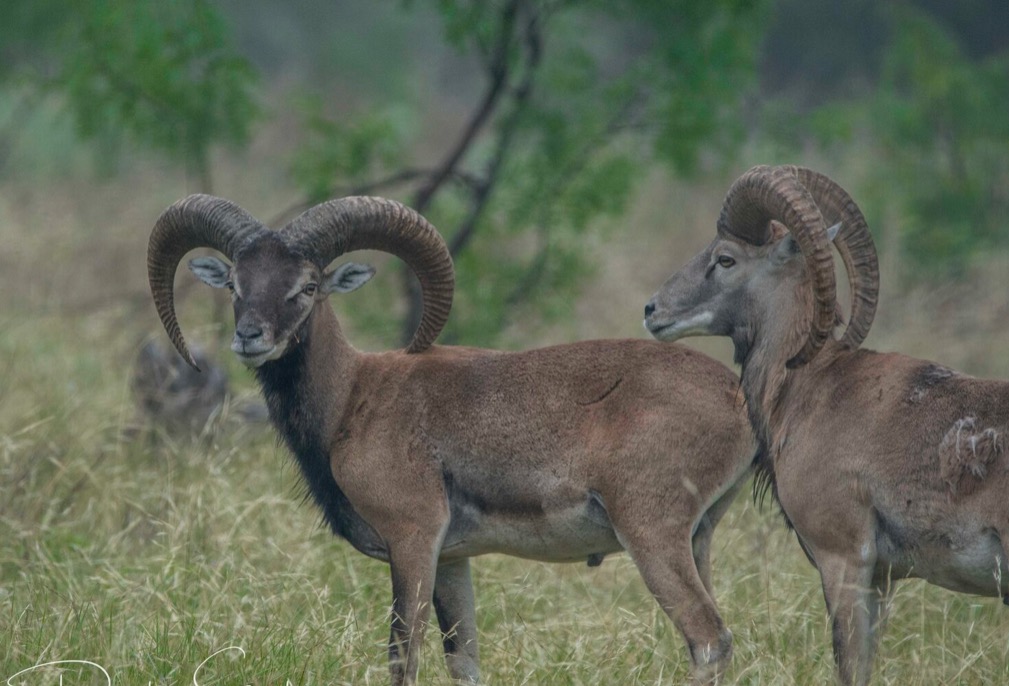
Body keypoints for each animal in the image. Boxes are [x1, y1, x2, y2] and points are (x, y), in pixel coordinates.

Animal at [147, 194, 756, 685]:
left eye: (308, 286)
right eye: (235, 283)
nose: (250, 337)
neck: (354, 399)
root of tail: (739, 398)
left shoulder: (414, 540)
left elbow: (403, 656)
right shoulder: (452, 562)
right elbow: (463, 661)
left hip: (652, 533)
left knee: (709, 640)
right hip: (698, 538)